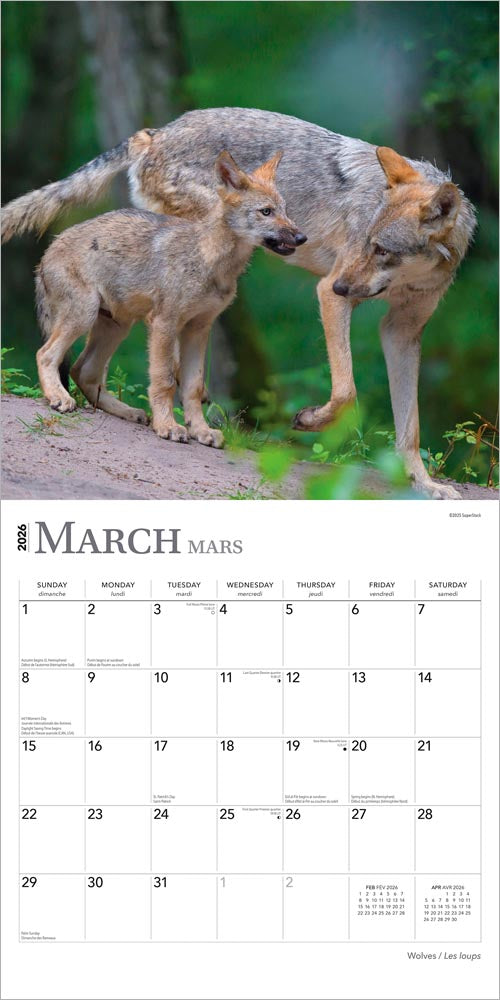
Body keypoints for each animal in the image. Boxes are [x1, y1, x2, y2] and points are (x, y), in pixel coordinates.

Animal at [34, 149, 305, 447]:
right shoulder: (164, 323)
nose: (302, 237)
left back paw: (130, 412)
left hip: (117, 327)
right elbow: (165, 381)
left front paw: (200, 431)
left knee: (83, 372)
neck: (212, 262)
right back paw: (59, 398)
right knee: (46, 354)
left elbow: (193, 387)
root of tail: (46, 253)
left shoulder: (198, 329)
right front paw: (168, 426)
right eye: (266, 211)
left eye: (286, 211)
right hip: (84, 317)